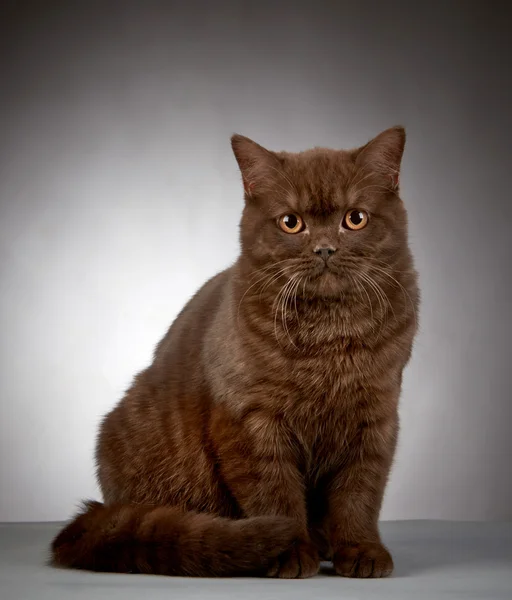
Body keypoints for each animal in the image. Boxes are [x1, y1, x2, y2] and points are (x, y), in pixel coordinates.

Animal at [51, 125, 420, 576]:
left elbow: (360, 493)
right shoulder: (250, 421)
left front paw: (361, 550)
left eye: (355, 219)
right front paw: (290, 551)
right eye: (291, 222)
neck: (329, 337)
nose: (324, 248)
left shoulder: (375, 418)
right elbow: (275, 493)